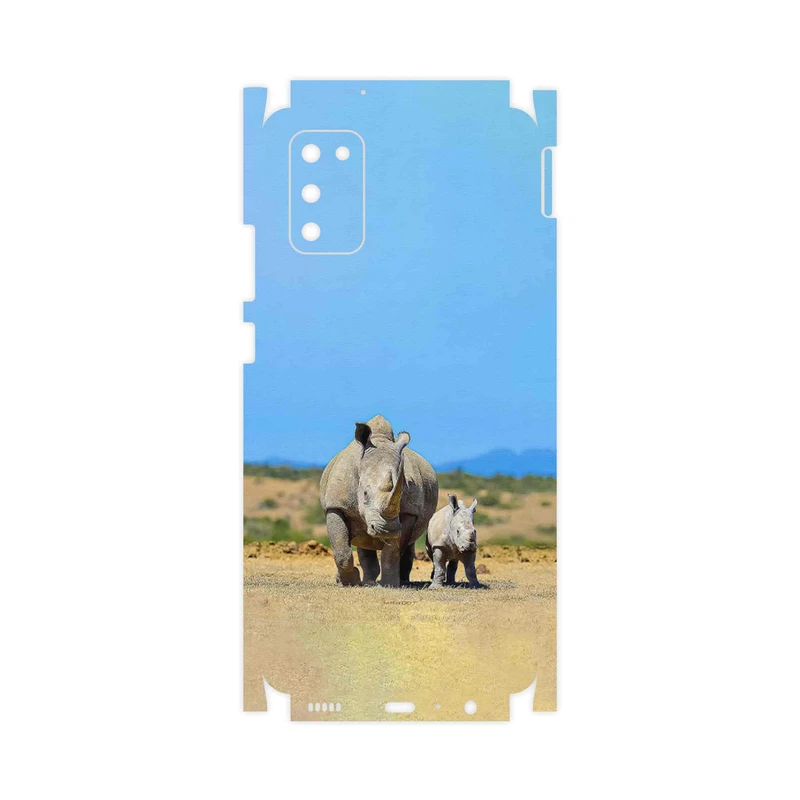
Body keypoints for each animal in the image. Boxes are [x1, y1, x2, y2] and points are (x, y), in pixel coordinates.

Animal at [319, 415, 439, 587]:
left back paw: (401, 581)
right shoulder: (336, 505)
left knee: (407, 544)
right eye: (364, 494)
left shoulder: (408, 512)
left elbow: (392, 550)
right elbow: (341, 549)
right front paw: (349, 581)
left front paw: (390, 584)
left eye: (400, 495)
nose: (386, 530)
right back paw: (366, 582)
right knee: (362, 540)